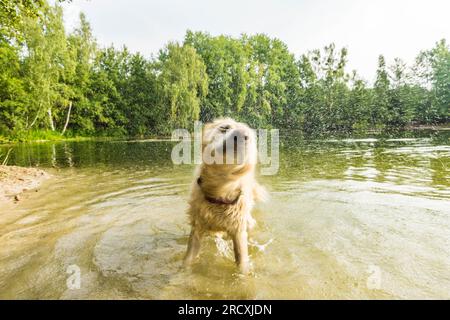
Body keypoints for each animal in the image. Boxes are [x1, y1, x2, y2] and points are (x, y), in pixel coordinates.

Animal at [184, 119, 266, 274]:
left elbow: (242, 264)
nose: (242, 135)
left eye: (249, 135)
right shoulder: (197, 228)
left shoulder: (239, 232)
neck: (219, 191)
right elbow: (187, 260)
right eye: (225, 127)